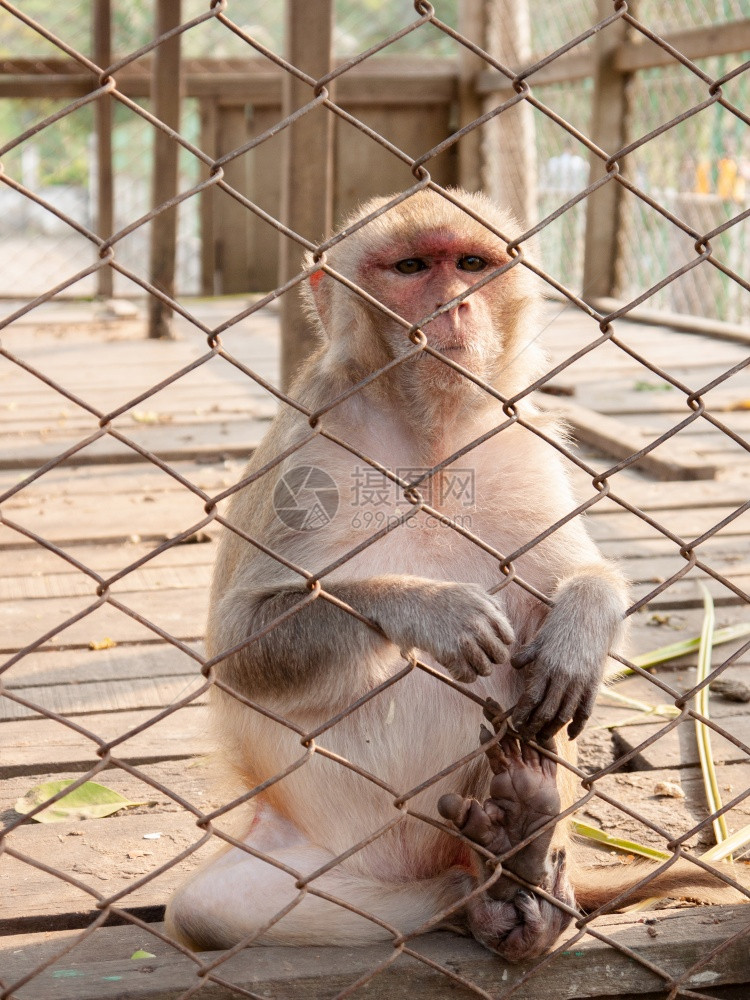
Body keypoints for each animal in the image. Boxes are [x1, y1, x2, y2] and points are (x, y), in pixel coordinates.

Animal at [169, 188, 750, 960]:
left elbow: (577, 577)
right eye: (413, 268)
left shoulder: (521, 436)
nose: (455, 305)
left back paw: (523, 854)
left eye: (471, 264)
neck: (431, 444)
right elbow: (238, 646)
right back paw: (478, 895)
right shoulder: (305, 446)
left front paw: (581, 627)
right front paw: (430, 610)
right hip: (312, 863)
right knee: (211, 911)